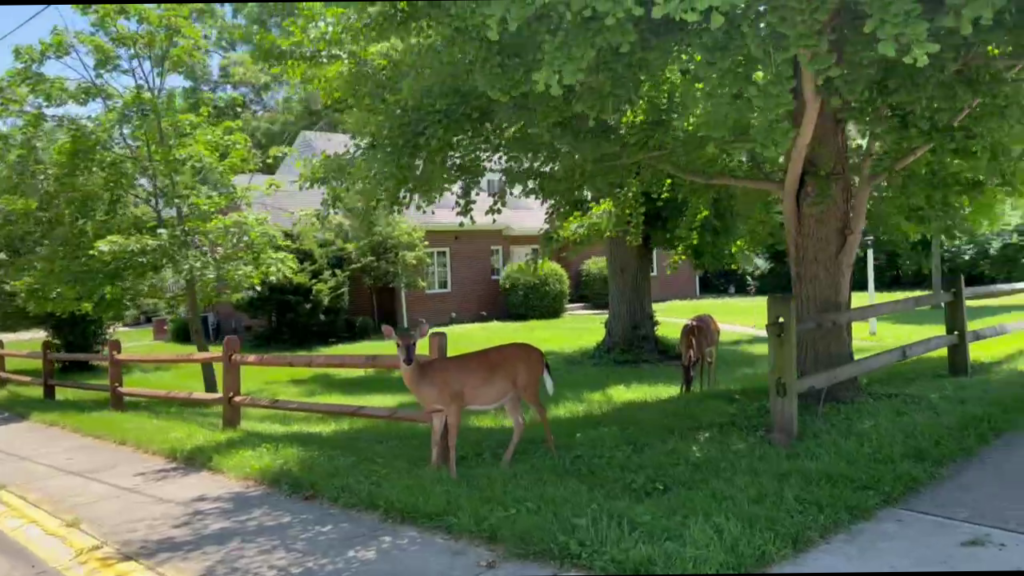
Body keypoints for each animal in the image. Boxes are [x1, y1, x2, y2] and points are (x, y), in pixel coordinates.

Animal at [381, 322, 556, 479]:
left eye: (414, 342)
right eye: (397, 343)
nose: (408, 360)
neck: (426, 378)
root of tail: (541, 354)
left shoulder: (455, 403)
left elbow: (451, 440)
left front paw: (453, 474)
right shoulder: (438, 410)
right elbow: (435, 439)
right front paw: (431, 469)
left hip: (528, 385)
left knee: (542, 410)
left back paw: (552, 449)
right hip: (511, 397)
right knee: (520, 422)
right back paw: (504, 462)